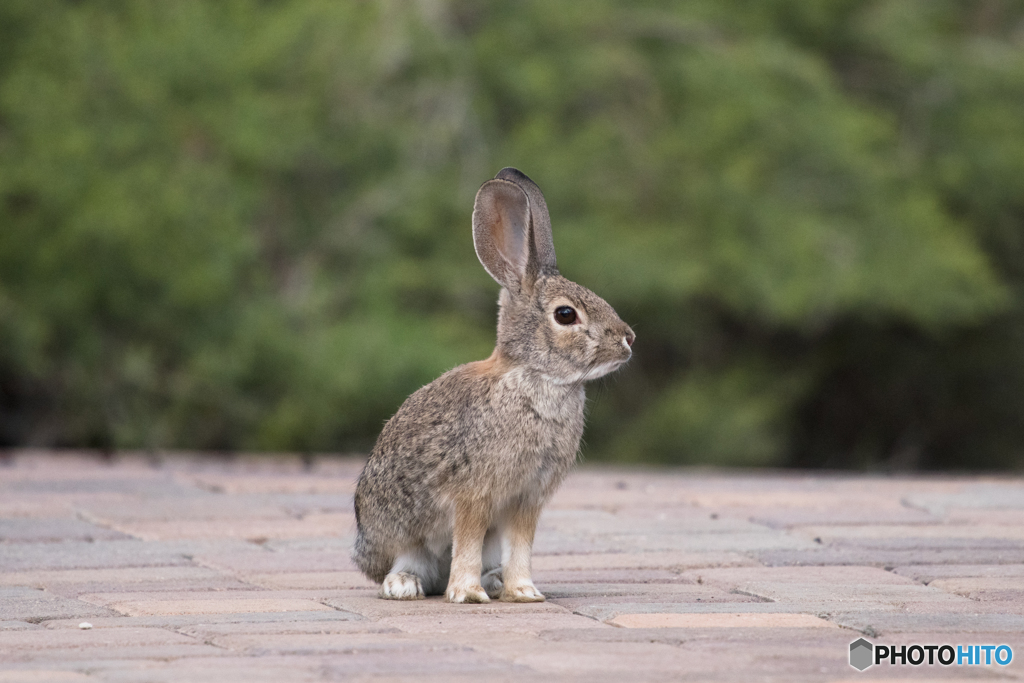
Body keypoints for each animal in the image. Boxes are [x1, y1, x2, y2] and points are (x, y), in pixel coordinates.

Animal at [356, 166, 634, 602]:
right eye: (566, 315)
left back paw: (495, 581)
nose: (629, 339)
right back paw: (406, 585)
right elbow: (468, 540)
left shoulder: (526, 500)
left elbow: (520, 545)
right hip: (402, 535)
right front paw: (468, 594)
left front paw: (524, 592)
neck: (535, 376)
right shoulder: (474, 495)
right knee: (410, 563)